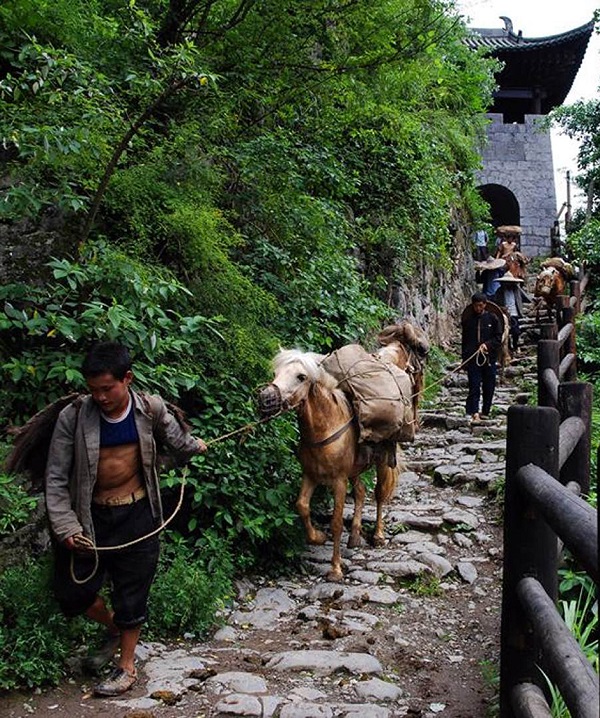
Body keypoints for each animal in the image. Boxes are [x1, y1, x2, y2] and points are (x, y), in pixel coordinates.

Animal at [255, 330, 424, 584]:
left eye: (301, 376)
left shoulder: (338, 482)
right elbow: (302, 506)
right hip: (355, 470)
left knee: (379, 495)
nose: (266, 398)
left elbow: (335, 522)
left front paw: (335, 569)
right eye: (276, 373)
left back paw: (378, 535)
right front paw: (317, 537)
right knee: (361, 492)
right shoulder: (310, 475)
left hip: (381, 461)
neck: (326, 427)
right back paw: (354, 535)